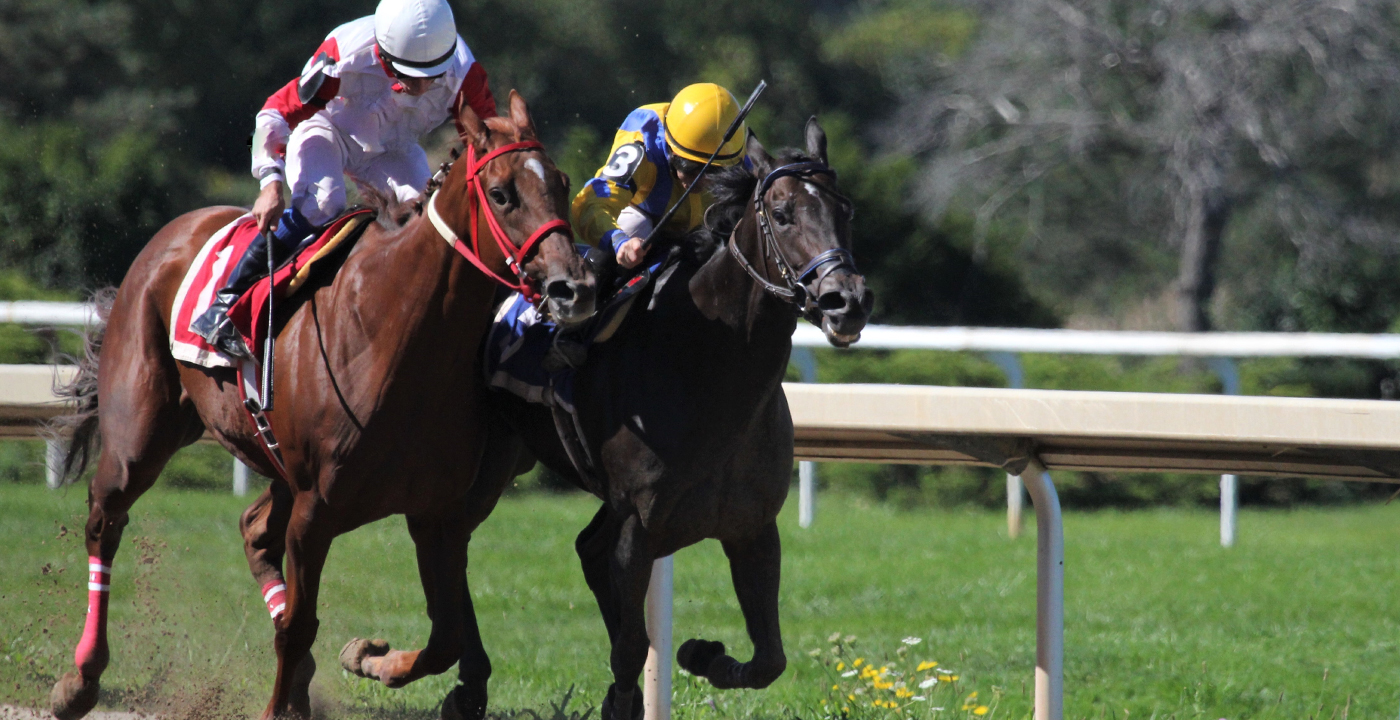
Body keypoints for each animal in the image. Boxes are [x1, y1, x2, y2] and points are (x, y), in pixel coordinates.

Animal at [49, 89, 593, 717]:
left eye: (562, 182)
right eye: (503, 193)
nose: (574, 287)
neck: (396, 331)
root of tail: (177, 230)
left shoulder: (436, 515)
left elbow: (446, 637)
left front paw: (371, 657)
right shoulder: (317, 512)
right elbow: (300, 627)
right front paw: (292, 695)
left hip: (273, 461)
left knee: (254, 529)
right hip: (140, 432)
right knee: (105, 518)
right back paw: (80, 679)